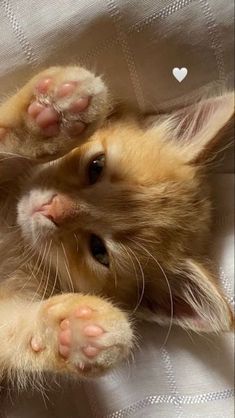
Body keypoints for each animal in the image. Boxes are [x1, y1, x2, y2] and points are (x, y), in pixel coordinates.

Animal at [0, 66, 233, 388]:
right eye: (96, 166)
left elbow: (13, 334)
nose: (50, 209)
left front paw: (72, 330)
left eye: (99, 251)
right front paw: (50, 113)